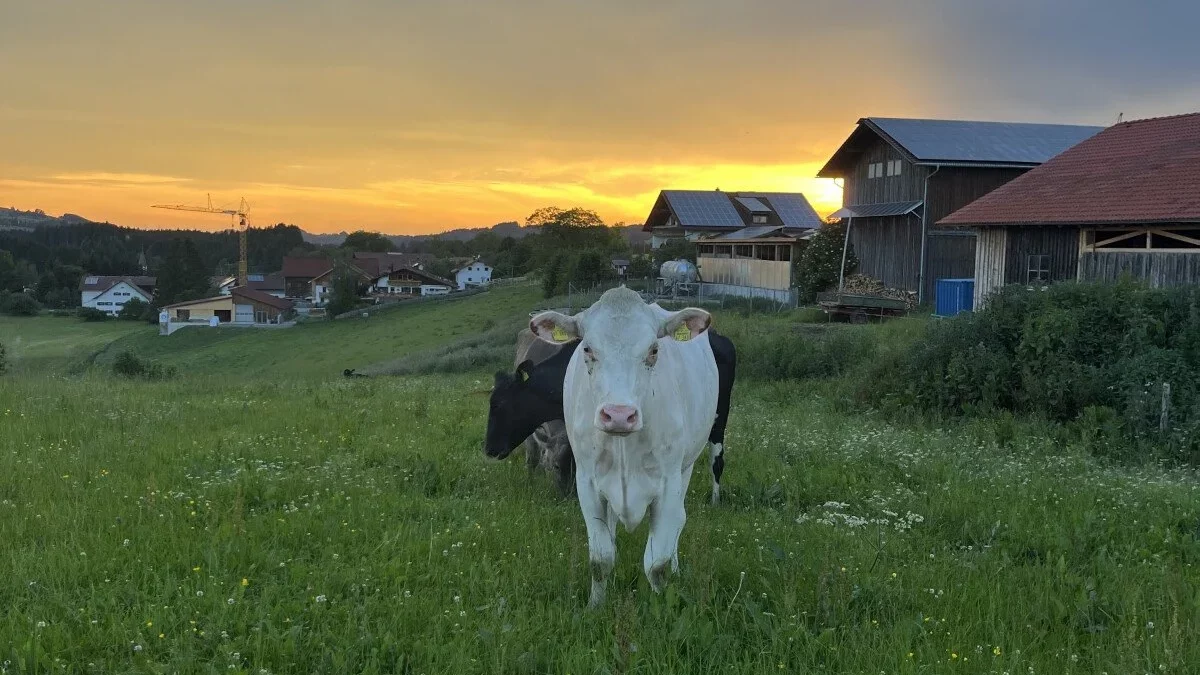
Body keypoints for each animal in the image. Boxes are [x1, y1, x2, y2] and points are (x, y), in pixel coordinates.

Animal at [530, 283, 715, 605]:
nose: (618, 414)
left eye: (653, 350)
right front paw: (595, 605)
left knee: (679, 520)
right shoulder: (588, 484)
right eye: (587, 349)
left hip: (686, 466)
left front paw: (660, 605)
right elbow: (601, 558)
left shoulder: (668, 484)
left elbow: (657, 563)